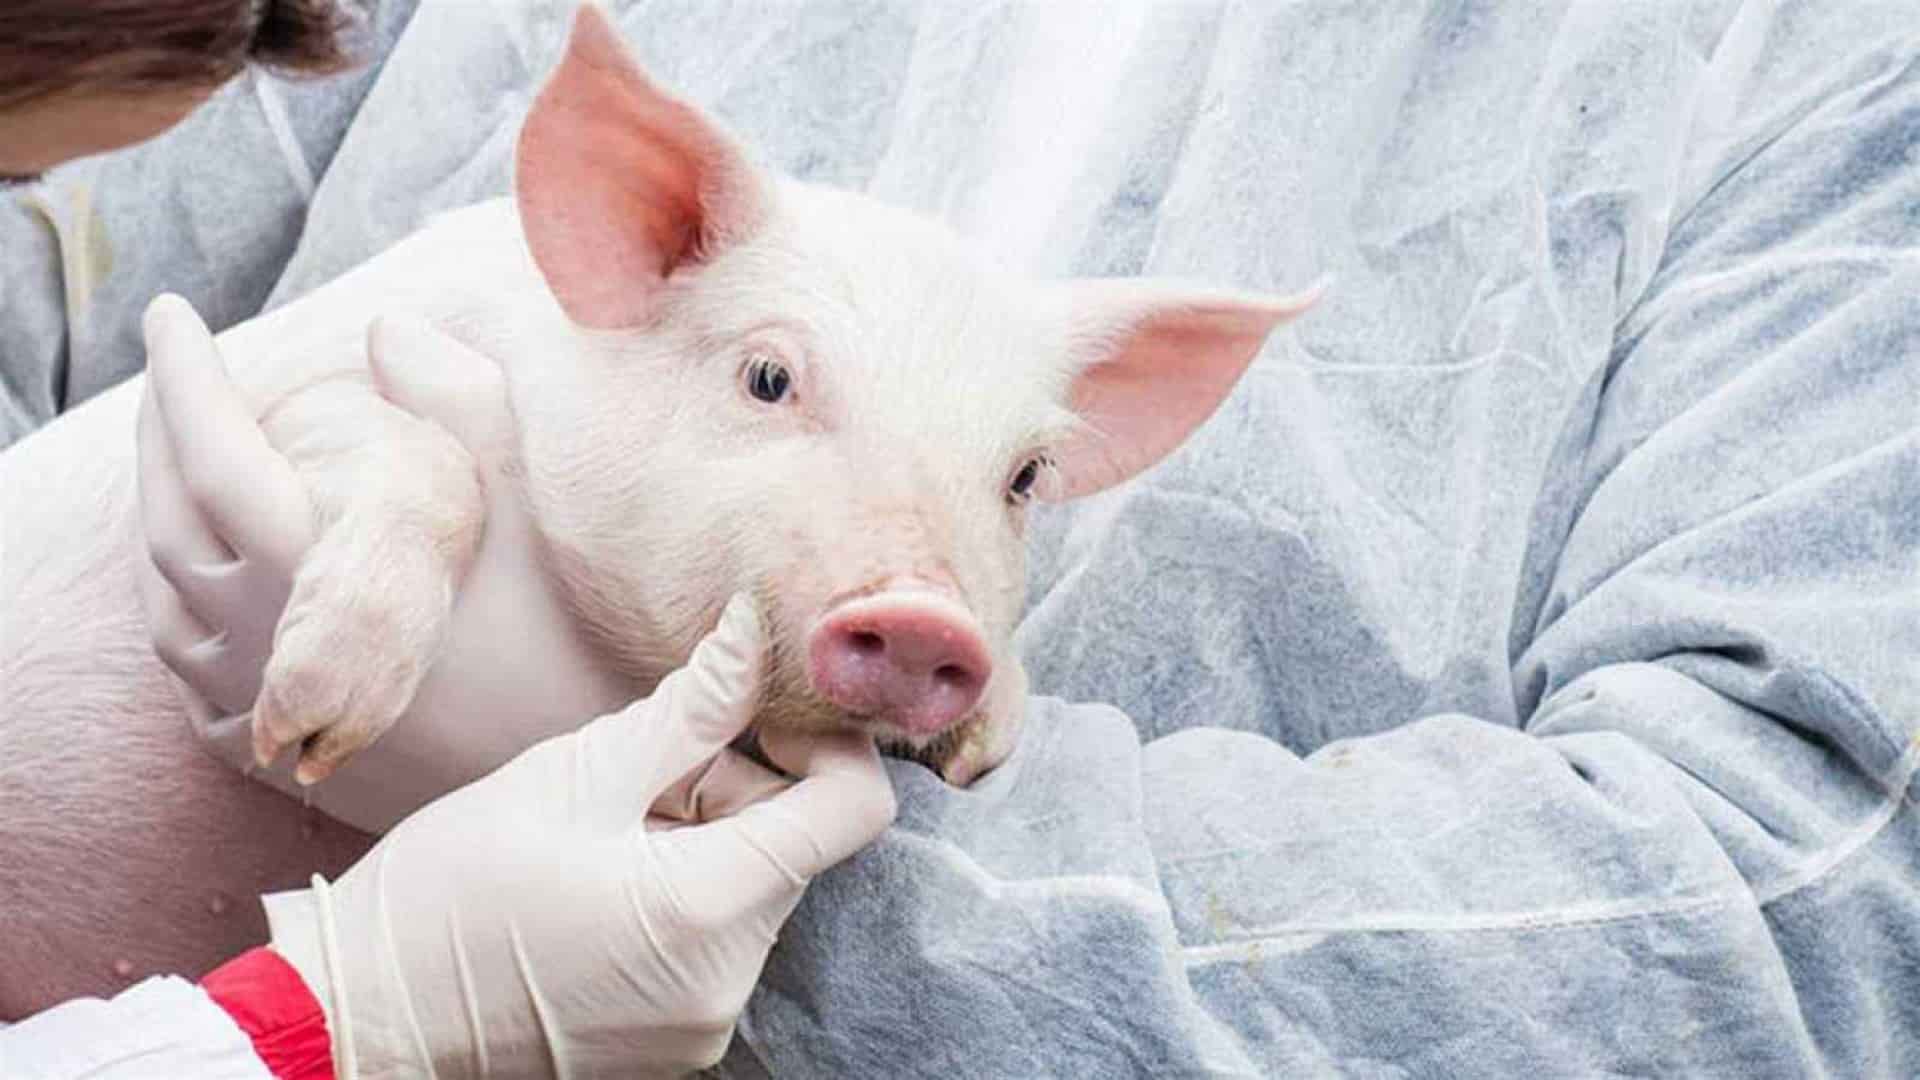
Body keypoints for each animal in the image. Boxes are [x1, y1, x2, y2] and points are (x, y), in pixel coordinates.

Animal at [0, 4, 1317, 1019]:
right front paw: (312, 727)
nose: (926, 619)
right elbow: (424, 458)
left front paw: (987, 743)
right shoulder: (248, 412)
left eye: (1026, 477)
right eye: (769, 377)